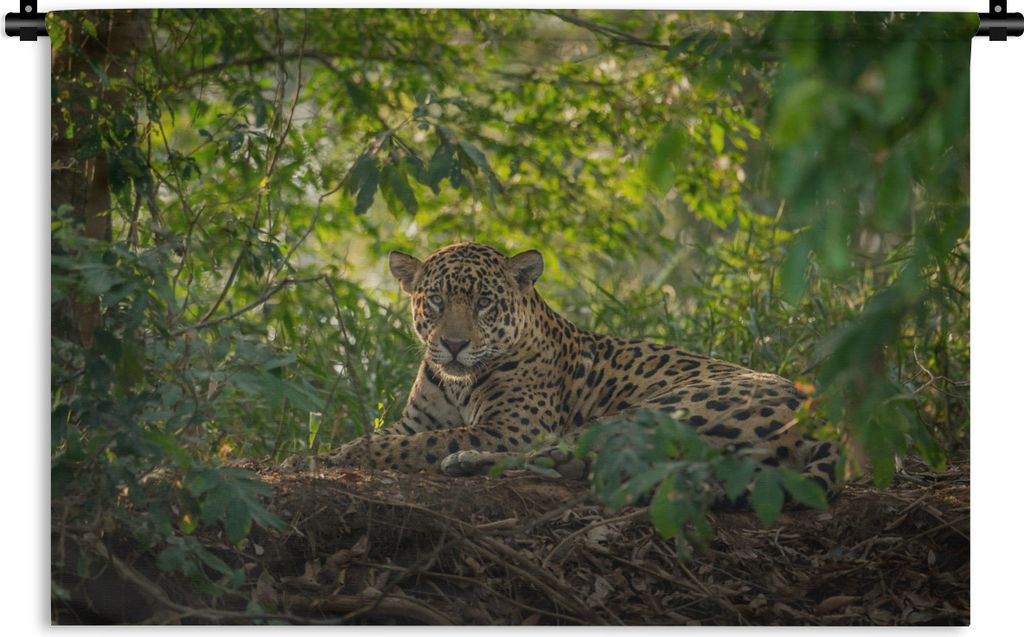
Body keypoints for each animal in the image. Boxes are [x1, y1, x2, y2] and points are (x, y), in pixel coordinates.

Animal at [291, 242, 841, 499]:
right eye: (437, 301)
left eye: (484, 302)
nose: (453, 344)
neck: (456, 383)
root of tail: (823, 422)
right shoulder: (415, 419)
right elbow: (393, 434)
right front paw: (317, 453)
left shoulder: (513, 426)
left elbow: (414, 444)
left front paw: (337, 456)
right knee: (581, 463)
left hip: (658, 411)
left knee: (563, 456)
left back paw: (464, 460)